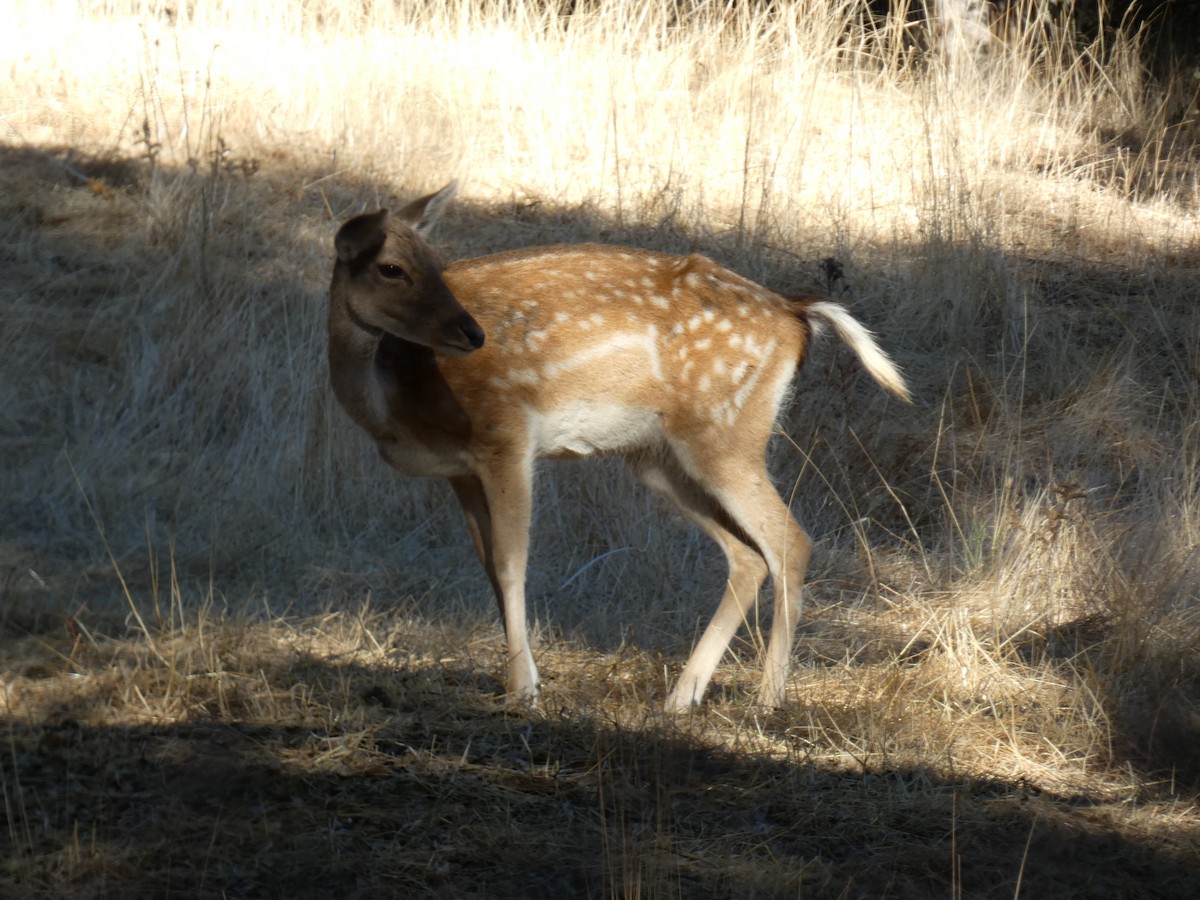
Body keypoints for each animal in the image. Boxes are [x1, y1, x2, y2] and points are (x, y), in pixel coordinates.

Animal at [328, 182, 910, 712]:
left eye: (433, 262)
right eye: (392, 268)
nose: (471, 333)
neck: (395, 403)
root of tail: (796, 312)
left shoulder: (507, 435)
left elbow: (513, 563)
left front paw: (525, 689)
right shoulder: (461, 471)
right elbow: (489, 567)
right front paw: (517, 678)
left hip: (724, 433)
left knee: (790, 541)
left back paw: (767, 700)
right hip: (659, 458)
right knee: (747, 554)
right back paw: (682, 697)